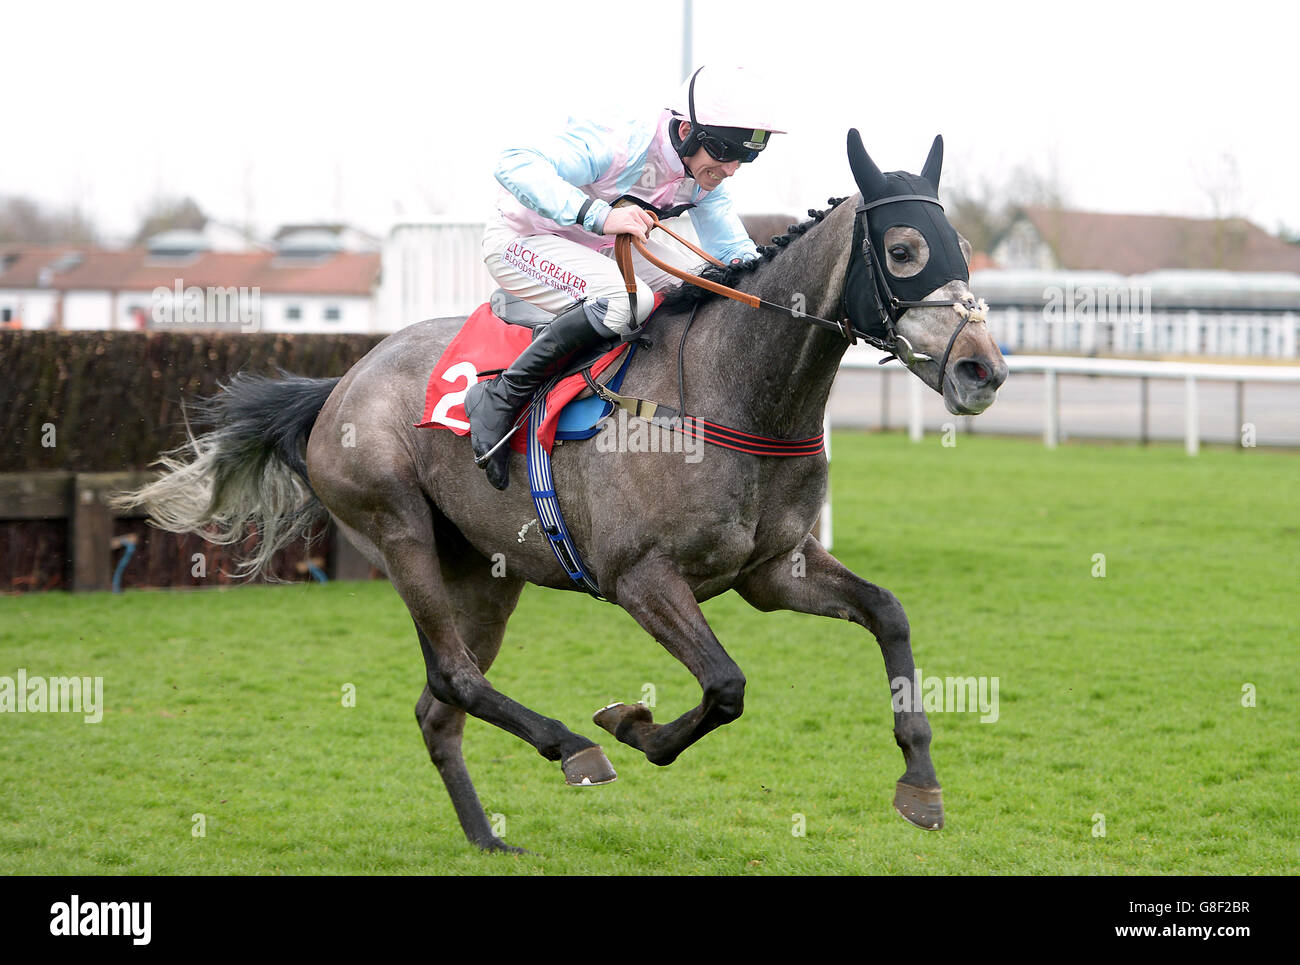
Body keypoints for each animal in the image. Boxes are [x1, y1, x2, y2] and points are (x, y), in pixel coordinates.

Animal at [114, 130, 1003, 853]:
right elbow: (725, 686)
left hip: (484, 571)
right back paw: (574, 747)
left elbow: (889, 612)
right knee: (455, 676)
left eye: (960, 243)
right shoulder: (641, 576)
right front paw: (631, 726)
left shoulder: (771, 570)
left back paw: (487, 838)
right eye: (903, 250)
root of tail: (340, 383)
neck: (731, 397)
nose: (982, 369)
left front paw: (921, 784)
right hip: (397, 529)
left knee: (437, 706)